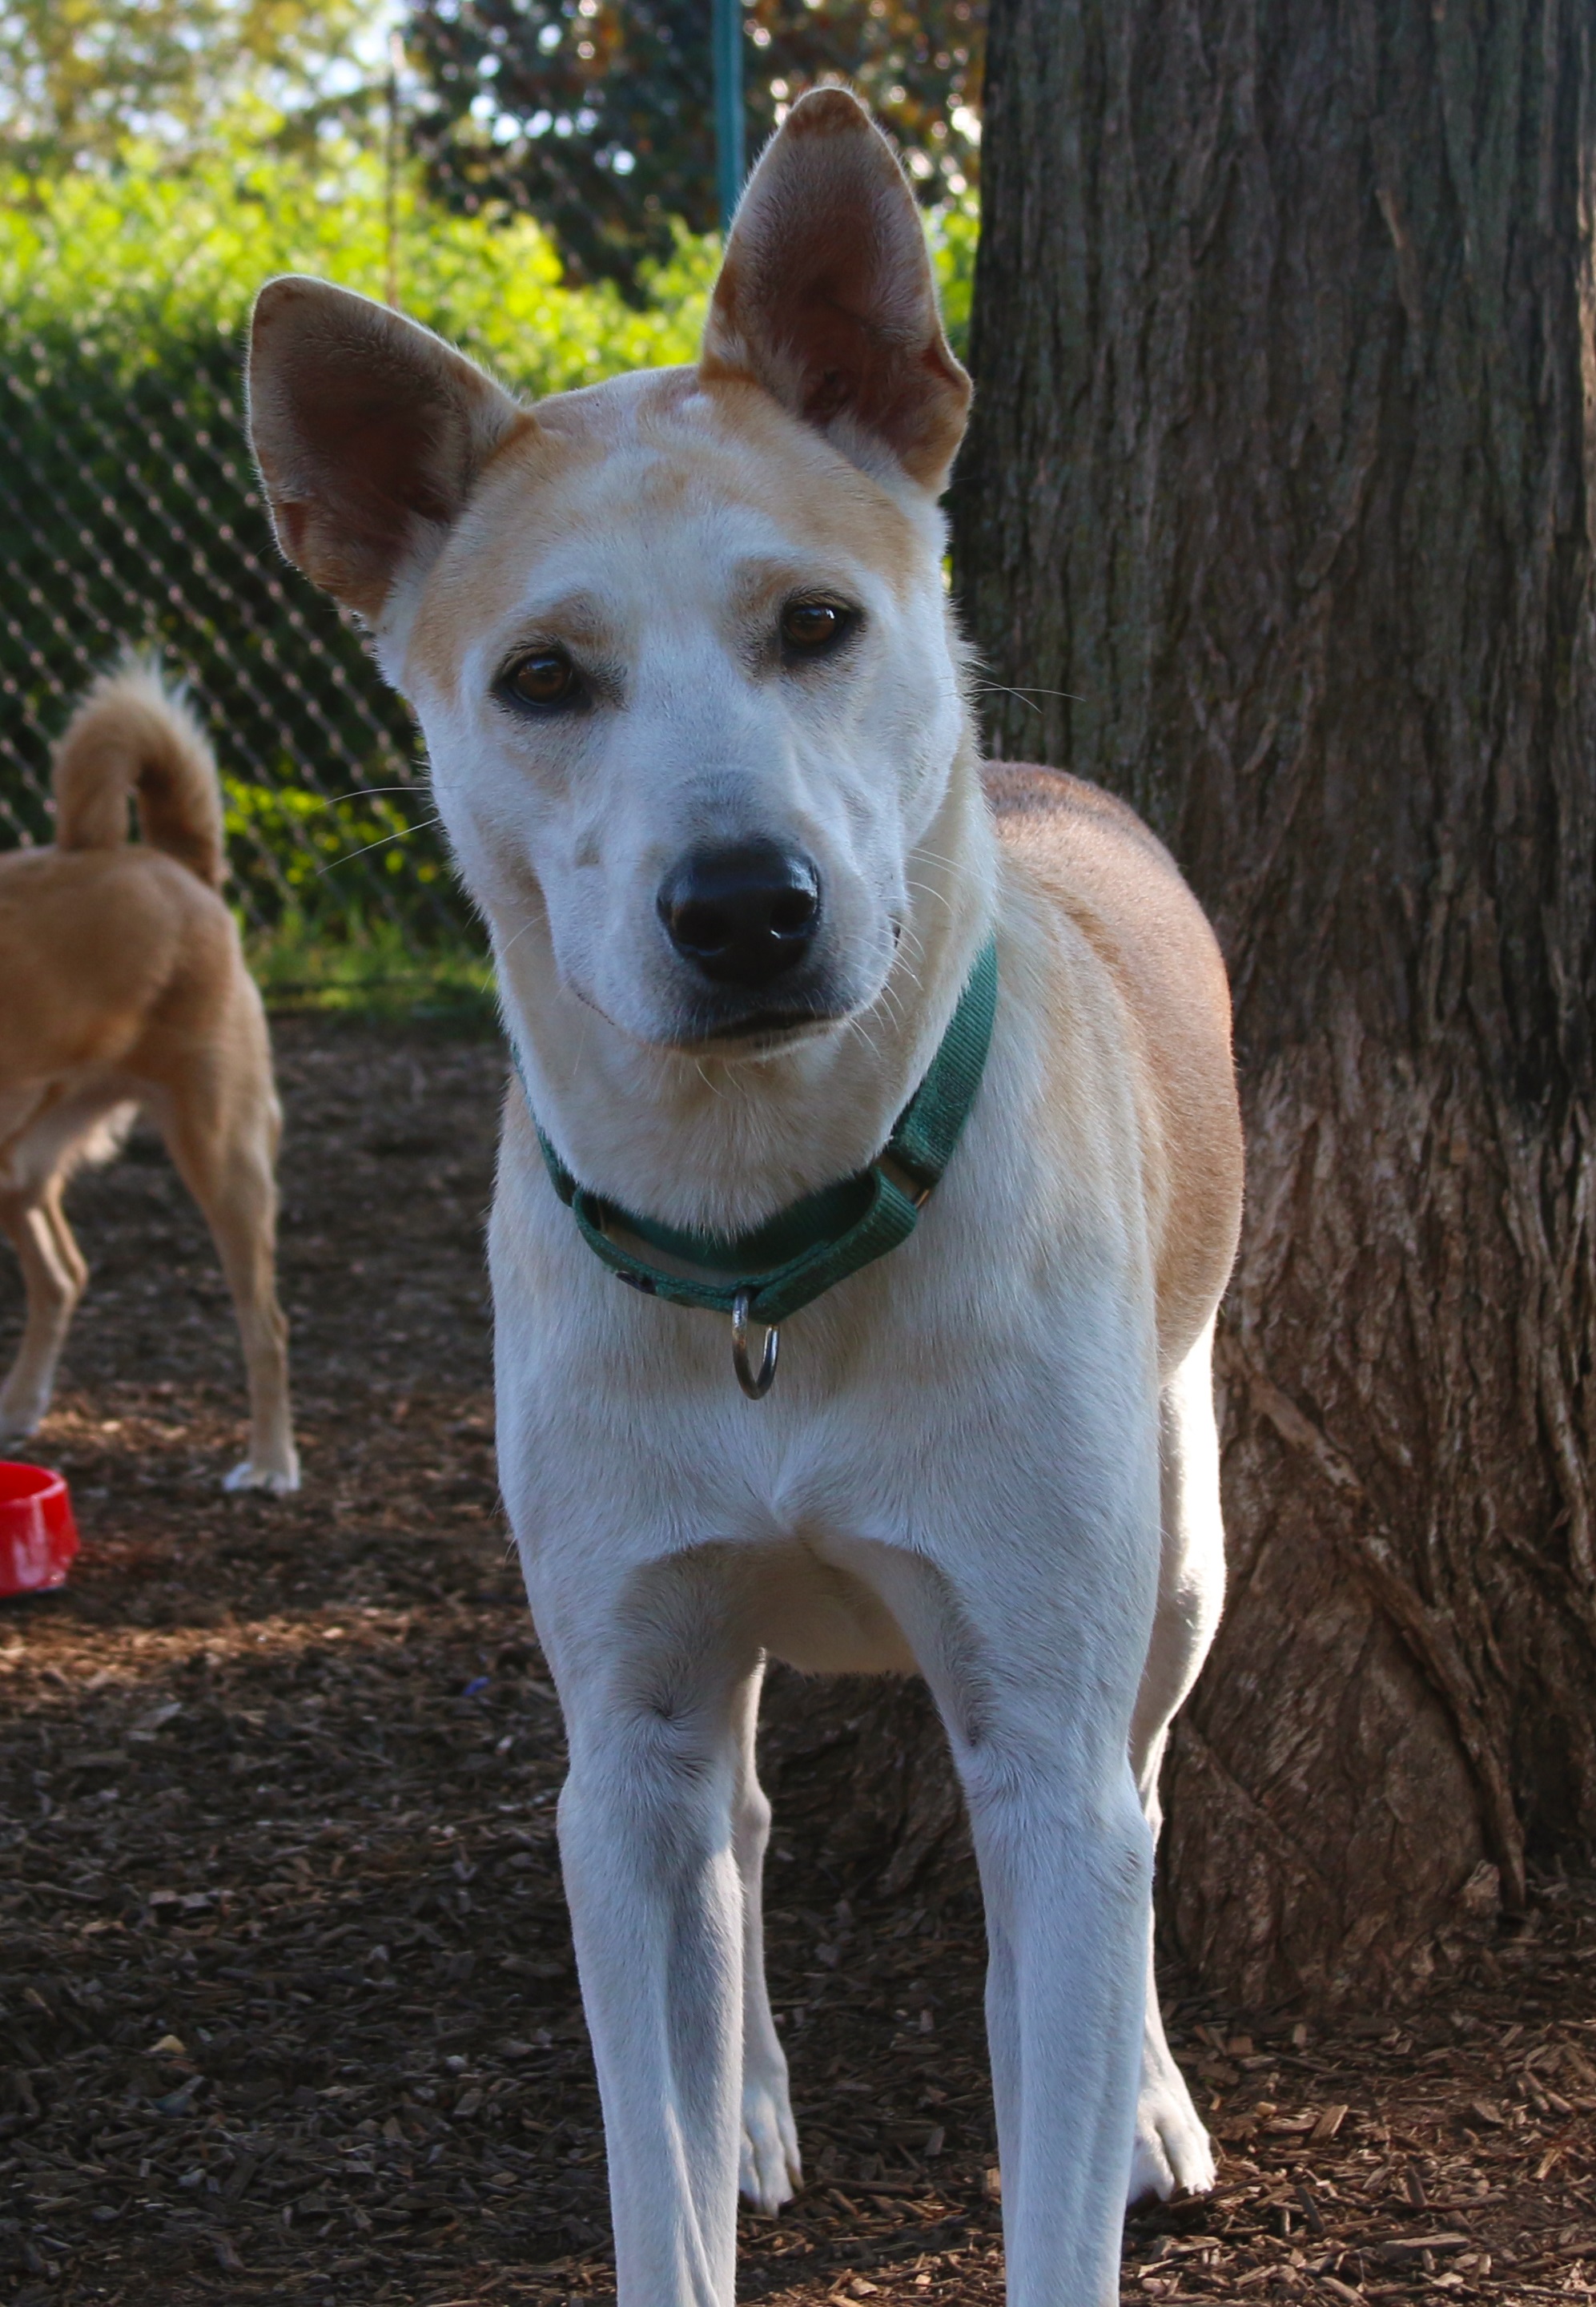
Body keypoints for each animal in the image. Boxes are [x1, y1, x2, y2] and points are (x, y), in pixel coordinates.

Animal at [0, 664, 297, 1495]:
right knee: (62, 1277)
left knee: (266, 1325)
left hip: (223, 1156)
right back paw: (18, 1407)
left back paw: (271, 1463)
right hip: (20, 1170)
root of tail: (173, 862)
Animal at [252, 90, 1245, 2307]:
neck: (767, 1246)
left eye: (814, 624)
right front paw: (715, 2135)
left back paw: (1148, 2097)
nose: (740, 907)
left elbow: (1075, 1952)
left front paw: (1100, 2120)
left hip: (1179, 1549)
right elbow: (661, 2143)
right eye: (540, 678)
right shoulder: (621, 1741)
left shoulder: (1036, 1749)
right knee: (751, 1837)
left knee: (1148, 1783)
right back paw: (763, 2096)